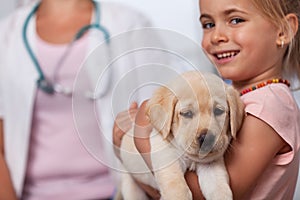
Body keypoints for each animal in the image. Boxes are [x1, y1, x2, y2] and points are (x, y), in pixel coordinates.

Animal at [117, 70, 244, 200]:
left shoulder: (211, 165)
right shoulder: (166, 154)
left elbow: (219, 189)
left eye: (218, 111)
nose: (206, 138)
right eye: (187, 113)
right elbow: (177, 188)